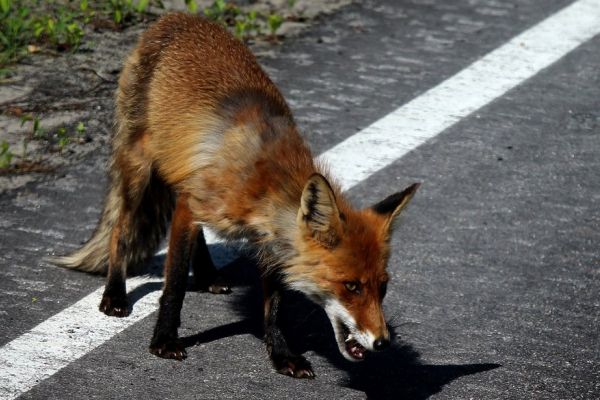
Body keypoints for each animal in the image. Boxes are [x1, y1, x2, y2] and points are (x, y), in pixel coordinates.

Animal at [50, 13, 418, 378]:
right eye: (351, 286)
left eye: (383, 287)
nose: (383, 343)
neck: (265, 180)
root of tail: (175, 17)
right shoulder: (192, 206)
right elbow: (174, 285)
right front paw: (164, 340)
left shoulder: (267, 241)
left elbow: (275, 305)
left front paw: (281, 354)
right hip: (139, 170)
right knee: (120, 230)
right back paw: (115, 294)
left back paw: (208, 275)